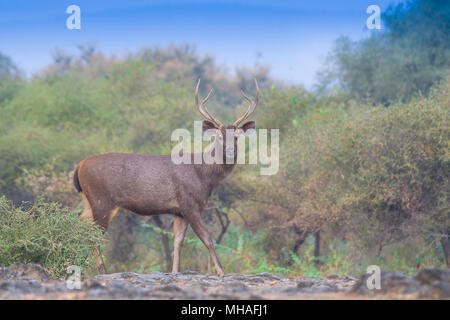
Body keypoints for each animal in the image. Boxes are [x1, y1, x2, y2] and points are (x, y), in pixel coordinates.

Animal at [72, 78, 258, 276]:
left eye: (237, 137)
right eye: (220, 137)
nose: (231, 151)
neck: (204, 177)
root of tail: (79, 166)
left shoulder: (179, 211)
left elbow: (178, 242)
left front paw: (175, 271)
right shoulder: (190, 204)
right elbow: (207, 237)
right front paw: (222, 272)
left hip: (89, 200)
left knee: (80, 223)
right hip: (103, 201)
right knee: (93, 235)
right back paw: (102, 271)